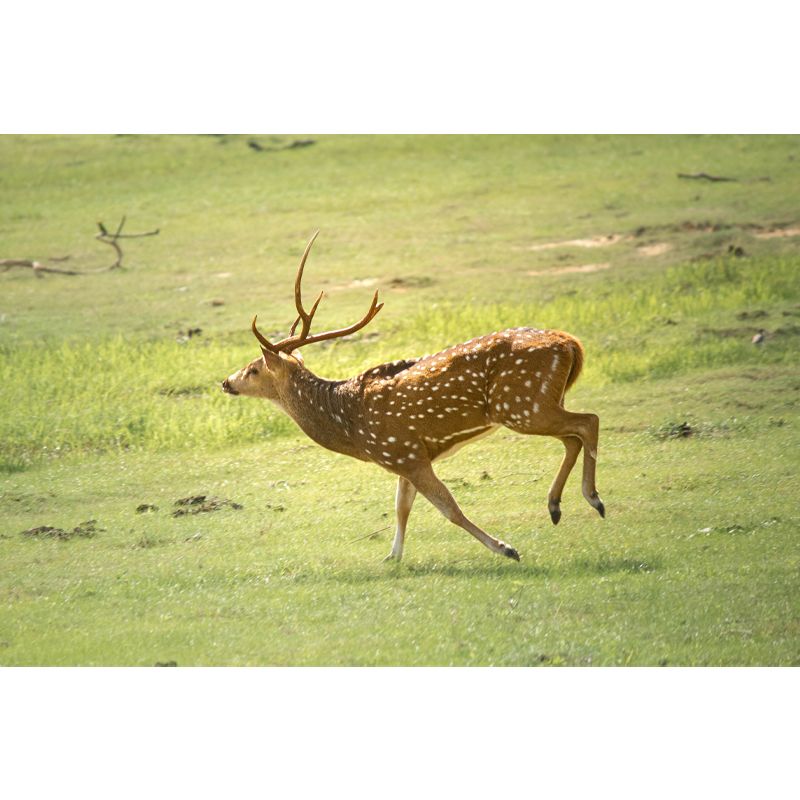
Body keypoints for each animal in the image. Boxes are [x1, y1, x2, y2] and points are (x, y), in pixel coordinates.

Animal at [222, 232, 605, 563]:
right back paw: (556, 506)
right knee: (573, 435)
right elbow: (402, 506)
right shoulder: (402, 456)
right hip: (539, 403)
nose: (226, 381)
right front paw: (392, 557)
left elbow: (449, 507)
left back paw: (593, 499)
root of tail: (571, 343)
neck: (351, 428)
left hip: (522, 405)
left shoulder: (405, 453)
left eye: (254, 369)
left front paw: (506, 548)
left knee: (588, 421)